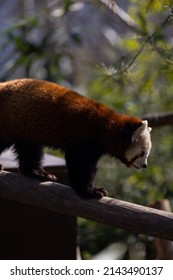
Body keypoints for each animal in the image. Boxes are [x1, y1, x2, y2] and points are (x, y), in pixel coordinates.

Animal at [0, 77, 151, 198]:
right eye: (142, 153)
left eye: (146, 154)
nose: (145, 165)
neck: (107, 128)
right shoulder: (83, 138)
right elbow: (80, 165)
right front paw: (91, 191)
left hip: (26, 130)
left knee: (30, 151)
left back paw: (37, 172)